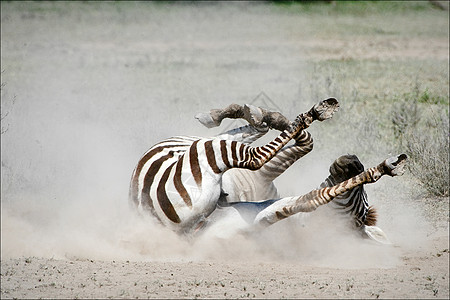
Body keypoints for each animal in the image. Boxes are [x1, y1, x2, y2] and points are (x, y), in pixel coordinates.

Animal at [130, 98, 408, 241]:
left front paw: (381, 169)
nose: (353, 161)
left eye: (360, 208)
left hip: (208, 159)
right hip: (209, 148)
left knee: (253, 156)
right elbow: (307, 144)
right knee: (252, 134)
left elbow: (312, 197)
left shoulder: (264, 215)